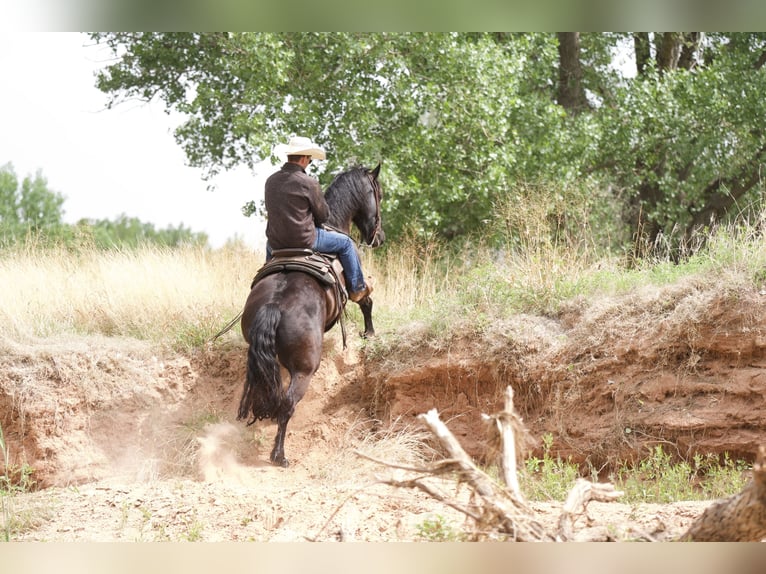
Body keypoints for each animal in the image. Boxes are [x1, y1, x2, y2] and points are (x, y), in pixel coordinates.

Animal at [237, 162, 384, 468]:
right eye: (379, 194)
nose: (379, 238)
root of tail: (274, 305)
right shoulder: (356, 283)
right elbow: (365, 299)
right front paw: (370, 333)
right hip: (305, 369)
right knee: (287, 405)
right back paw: (279, 455)